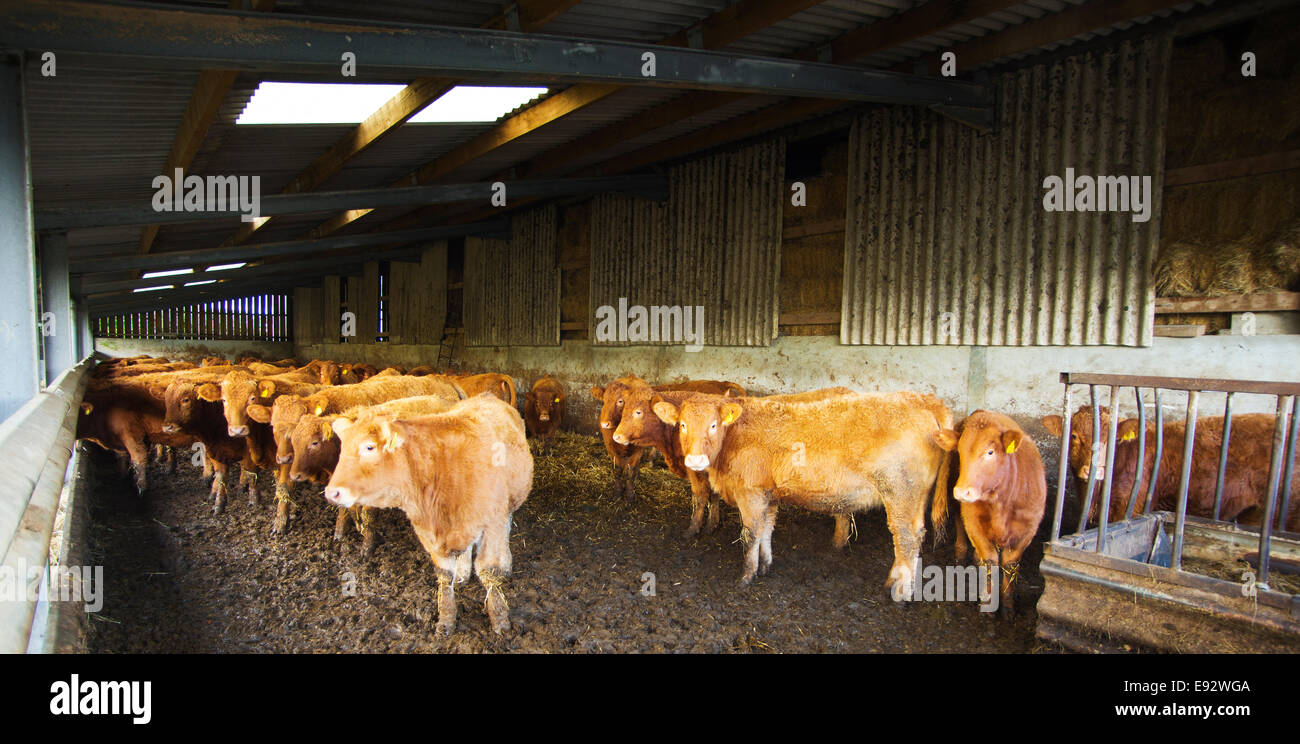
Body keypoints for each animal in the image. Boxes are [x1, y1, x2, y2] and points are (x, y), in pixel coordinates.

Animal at [325, 395, 533, 634]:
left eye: (369, 447)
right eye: (342, 450)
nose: (332, 492)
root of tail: (486, 396)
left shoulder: (492, 524)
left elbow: (489, 572)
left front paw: (499, 619)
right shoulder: (428, 532)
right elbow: (444, 575)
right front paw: (446, 619)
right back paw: (463, 572)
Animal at [595, 377, 748, 499]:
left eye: (620, 401)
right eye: (604, 400)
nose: (604, 423)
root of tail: (721, 383)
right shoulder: (610, 445)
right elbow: (618, 469)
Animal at [655, 390, 951, 593]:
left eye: (714, 425)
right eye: (682, 425)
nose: (695, 460)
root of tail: (922, 399)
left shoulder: (751, 493)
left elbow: (751, 534)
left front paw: (747, 576)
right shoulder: (770, 494)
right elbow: (767, 530)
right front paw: (765, 566)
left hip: (900, 491)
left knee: (906, 537)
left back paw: (900, 593)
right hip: (915, 496)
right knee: (915, 535)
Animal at [935, 411, 1045, 619]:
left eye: (990, 452)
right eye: (959, 451)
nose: (962, 491)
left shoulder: (1027, 530)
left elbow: (1010, 565)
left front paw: (1008, 607)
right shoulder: (974, 524)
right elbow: (990, 561)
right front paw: (988, 605)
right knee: (959, 523)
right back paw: (961, 553)